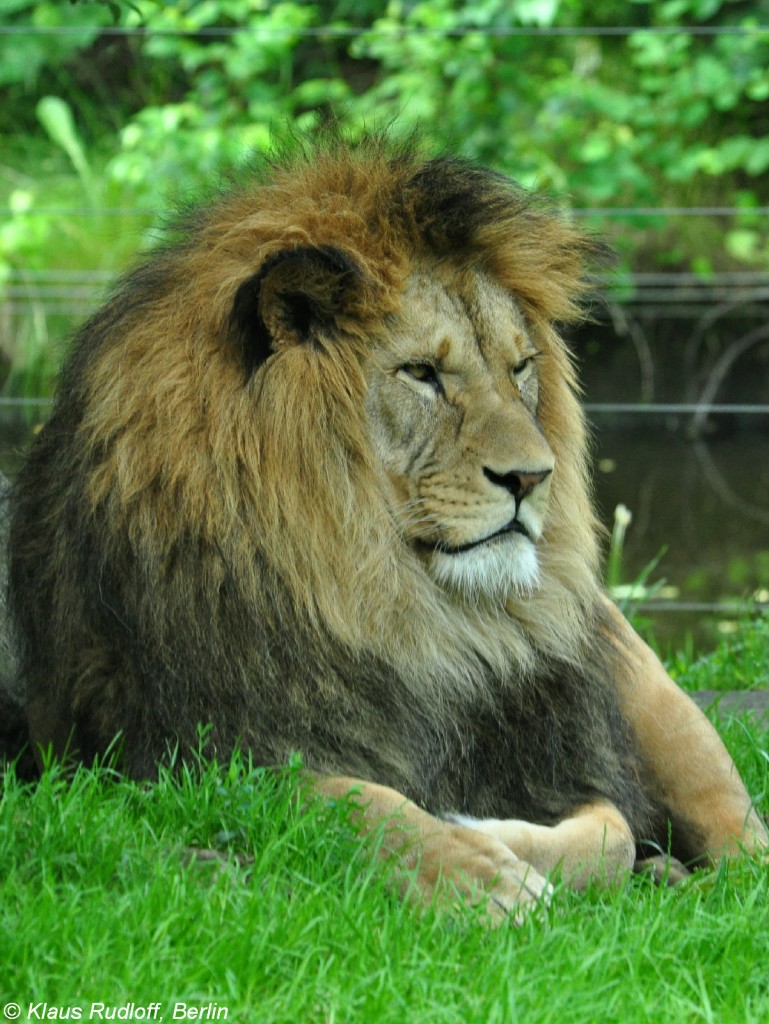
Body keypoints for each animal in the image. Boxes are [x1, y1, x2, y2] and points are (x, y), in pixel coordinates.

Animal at [7, 138, 769, 921]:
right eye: (423, 373)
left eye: (521, 367)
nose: (533, 477)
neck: (394, 607)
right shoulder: (181, 751)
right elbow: (353, 804)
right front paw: (479, 878)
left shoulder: (557, 754)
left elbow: (608, 832)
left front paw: (498, 842)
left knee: (743, 851)